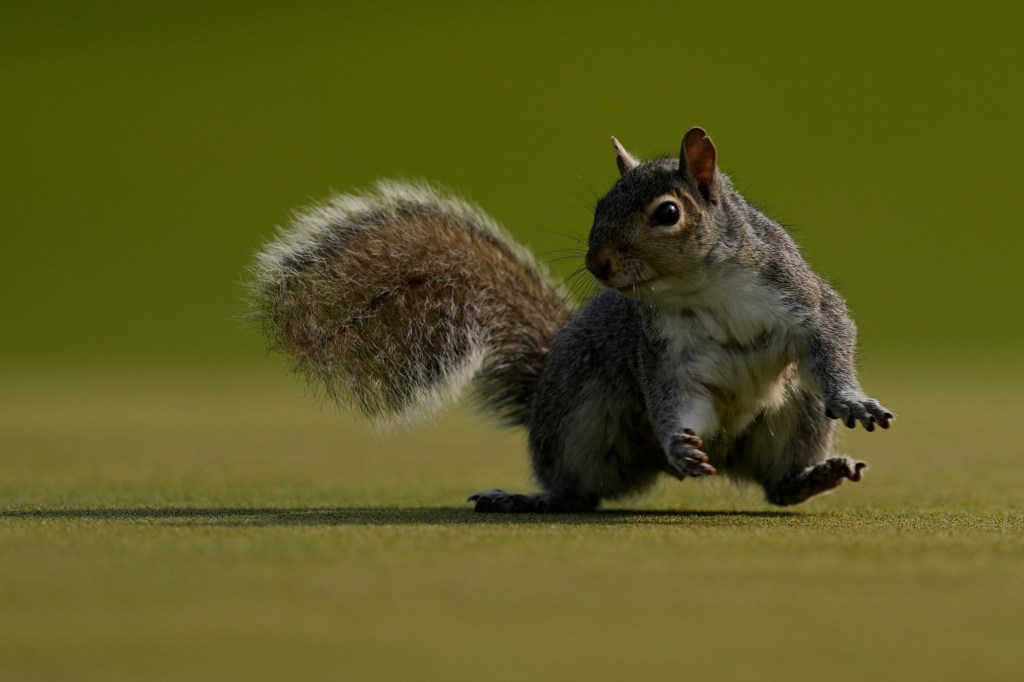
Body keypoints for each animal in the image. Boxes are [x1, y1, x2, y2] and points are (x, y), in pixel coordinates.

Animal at [248, 127, 893, 512]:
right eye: (600, 205)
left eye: (667, 213)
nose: (595, 262)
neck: (704, 288)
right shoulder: (661, 352)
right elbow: (670, 396)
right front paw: (679, 446)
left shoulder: (800, 297)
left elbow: (832, 334)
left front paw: (852, 398)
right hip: (577, 416)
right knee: (579, 493)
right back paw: (535, 499)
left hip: (796, 412)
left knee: (776, 488)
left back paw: (813, 477)